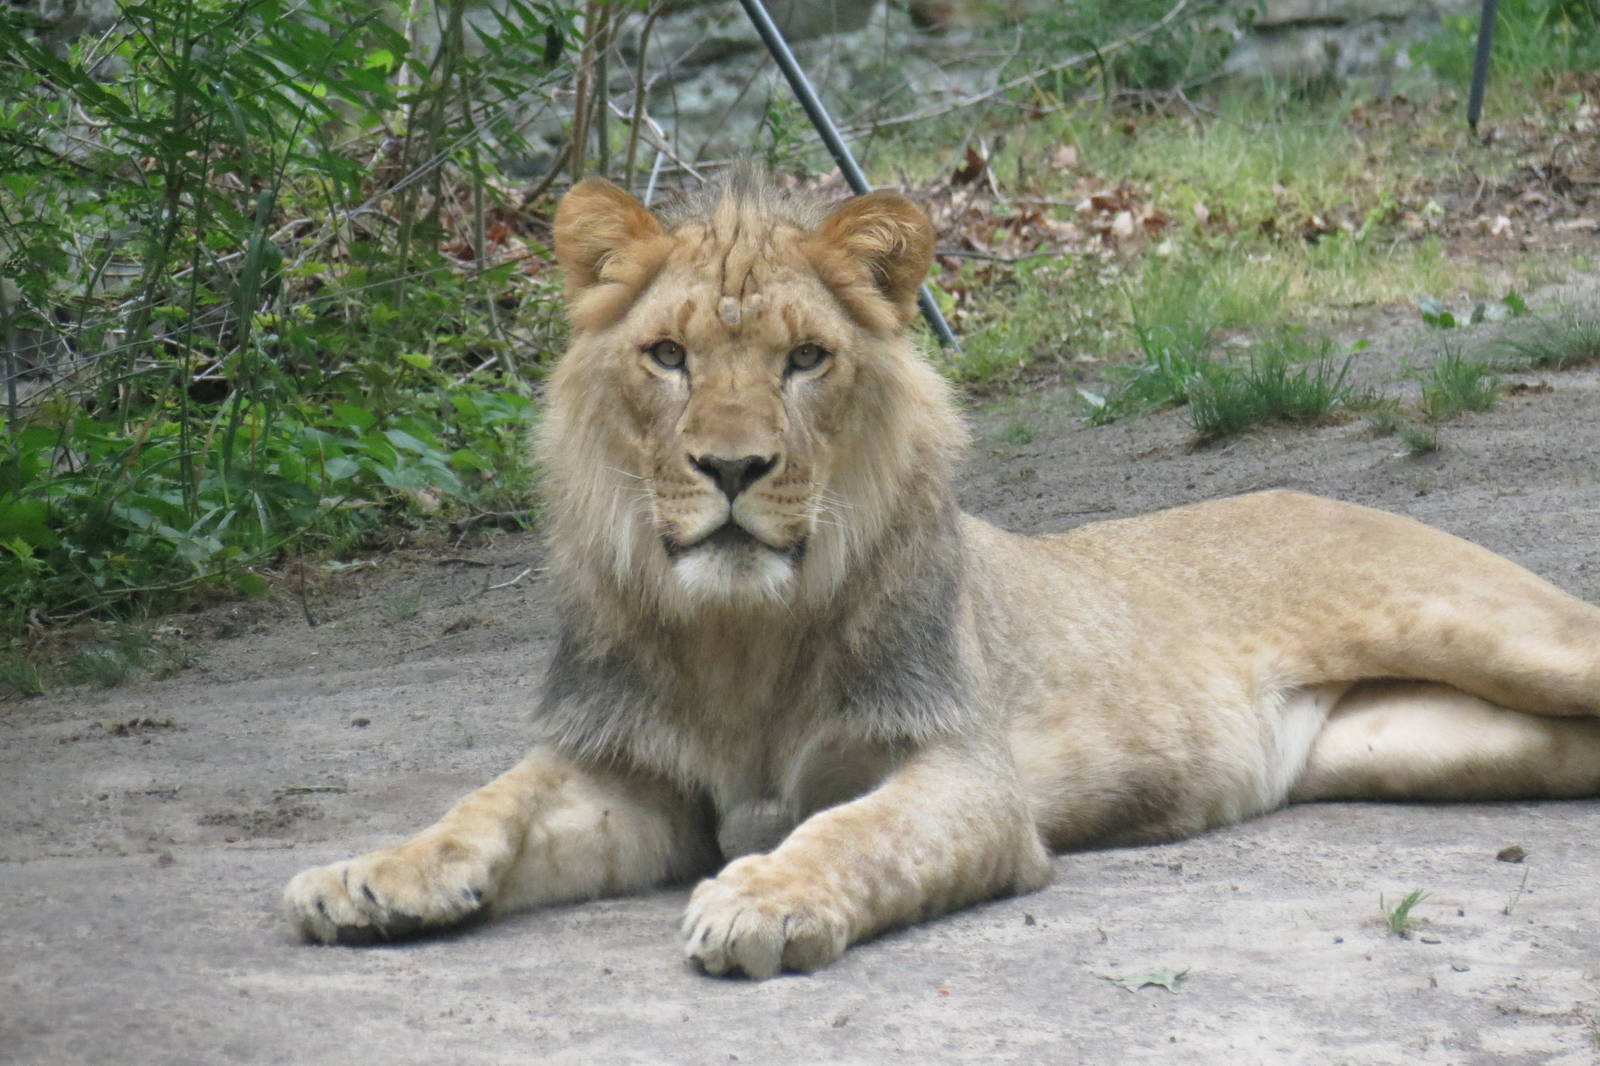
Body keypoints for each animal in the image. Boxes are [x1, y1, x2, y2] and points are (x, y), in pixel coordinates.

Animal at [284, 168, 1600, 978]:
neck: (736, 639)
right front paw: (369, 878)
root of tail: (1315, 487)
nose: (730, 466)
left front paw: (767, 900)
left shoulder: (965, 773)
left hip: (1488, 633)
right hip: (1427, 743)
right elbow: (490, 800)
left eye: (804, 359)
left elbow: (855, 833)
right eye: (665, 357)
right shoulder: (633, 779)